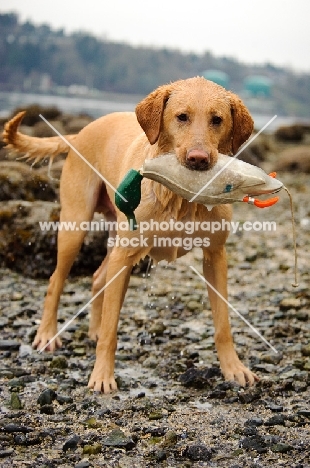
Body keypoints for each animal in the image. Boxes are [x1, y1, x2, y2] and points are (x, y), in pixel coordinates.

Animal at [3, 76, 258, 392]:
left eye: (217, 120)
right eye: (181, 117)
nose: (198, 159)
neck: (181, 196)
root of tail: (81, 131)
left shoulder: (215, 256)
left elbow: (223, 324)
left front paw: (233, 368)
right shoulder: (125, 257)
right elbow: (112, 328)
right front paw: (102, 375)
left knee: (97, 278)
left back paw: (92, 330)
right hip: (76, 225)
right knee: (56, 281)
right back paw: (48, 334)